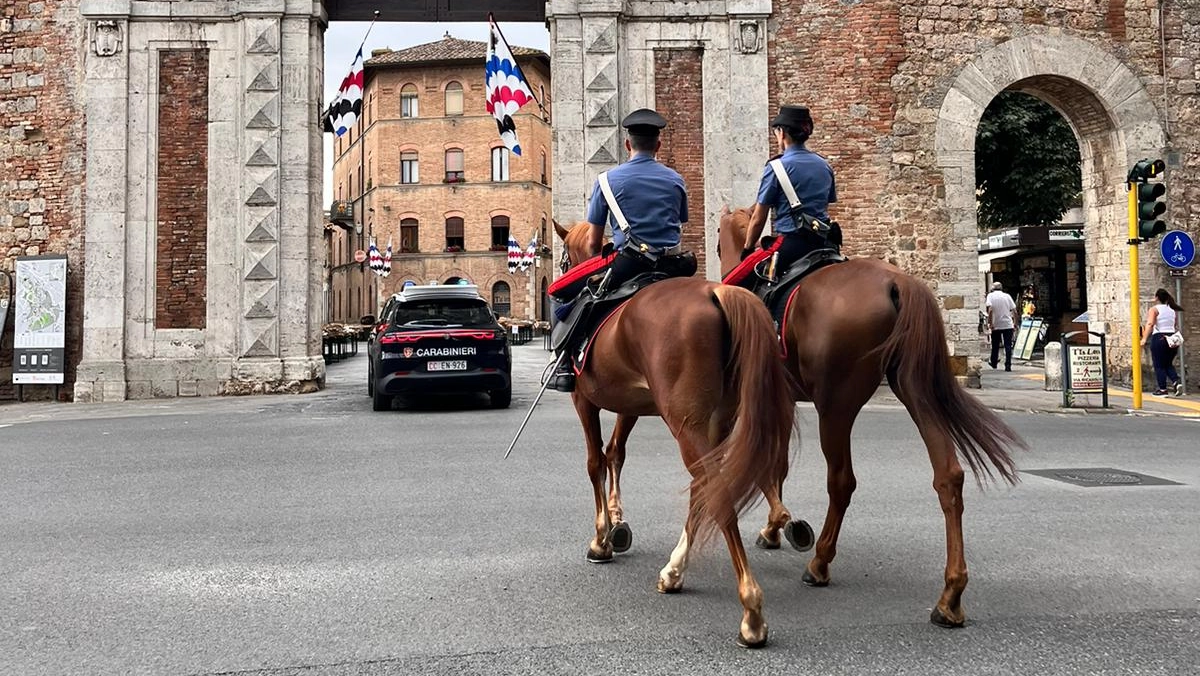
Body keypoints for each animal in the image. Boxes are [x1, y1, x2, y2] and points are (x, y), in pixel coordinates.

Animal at [549, 220, 796, 643]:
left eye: (565, 258)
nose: (561, 278)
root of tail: (716, 291)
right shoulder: (630, 405)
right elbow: (616, 452)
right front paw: (617, 524)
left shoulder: (584, 401)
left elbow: (595, 462)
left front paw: (601, 539)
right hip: (713, 423)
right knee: (703, 487)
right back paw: (675, 571)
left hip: (685, 423)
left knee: (717, 494)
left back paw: (751, 611)